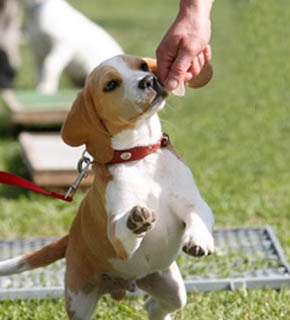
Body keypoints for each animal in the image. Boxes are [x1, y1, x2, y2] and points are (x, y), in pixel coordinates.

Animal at [0, 55, 213, 320]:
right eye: (111, 85)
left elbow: (198, 216)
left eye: (143, 66)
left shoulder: (192, 202)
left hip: (171, 286)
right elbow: (122, 228)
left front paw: (199, 240)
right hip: (79, 299)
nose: (149, 79)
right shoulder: (116, 232)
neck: (139, 157)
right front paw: (136, 220)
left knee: (156, 305)